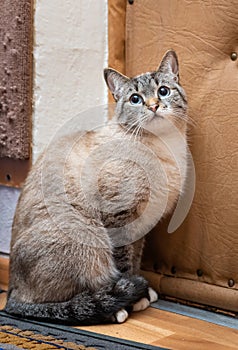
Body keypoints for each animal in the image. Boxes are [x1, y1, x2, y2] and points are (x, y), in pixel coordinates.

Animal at [4, 50, 188, 326]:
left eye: (163, 91)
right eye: (135, 99)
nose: (154, 105)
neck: (164, 147)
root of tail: (10, 291)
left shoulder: (142, 224)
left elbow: (134, 260)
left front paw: (142, 292)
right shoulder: (119, 217)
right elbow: (123, 266)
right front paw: (136, 298)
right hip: (87, 233)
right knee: (55, 300)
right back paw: (115, 309)